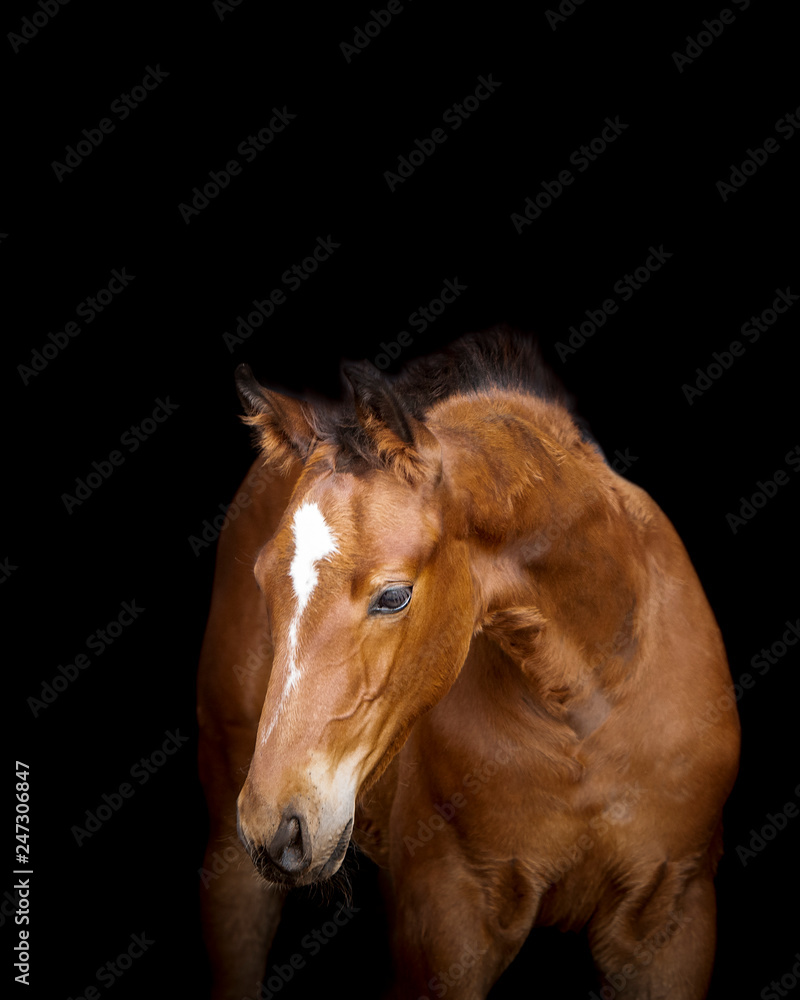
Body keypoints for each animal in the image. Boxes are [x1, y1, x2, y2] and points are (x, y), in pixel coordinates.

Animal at [197, 328, 740, 999]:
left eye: (394, 596)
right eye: (262, 584)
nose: (278, 827)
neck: (584, 706)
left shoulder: (674, 921)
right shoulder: (447, 920)